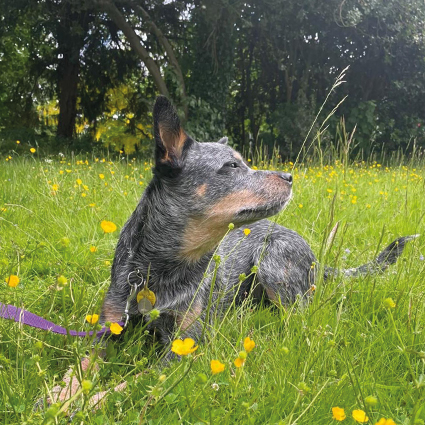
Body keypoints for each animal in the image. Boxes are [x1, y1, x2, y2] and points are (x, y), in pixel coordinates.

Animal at [45, 95, 414, 408]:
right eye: (232, 166)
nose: (290, 175)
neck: (159, 269)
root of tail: (316, 258)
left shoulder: (181, 347)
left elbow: (130, 383)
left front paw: (90, 402)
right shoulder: (107, 329)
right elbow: (79, 367)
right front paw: (58, 396)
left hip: (272, 264)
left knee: (299, 318)